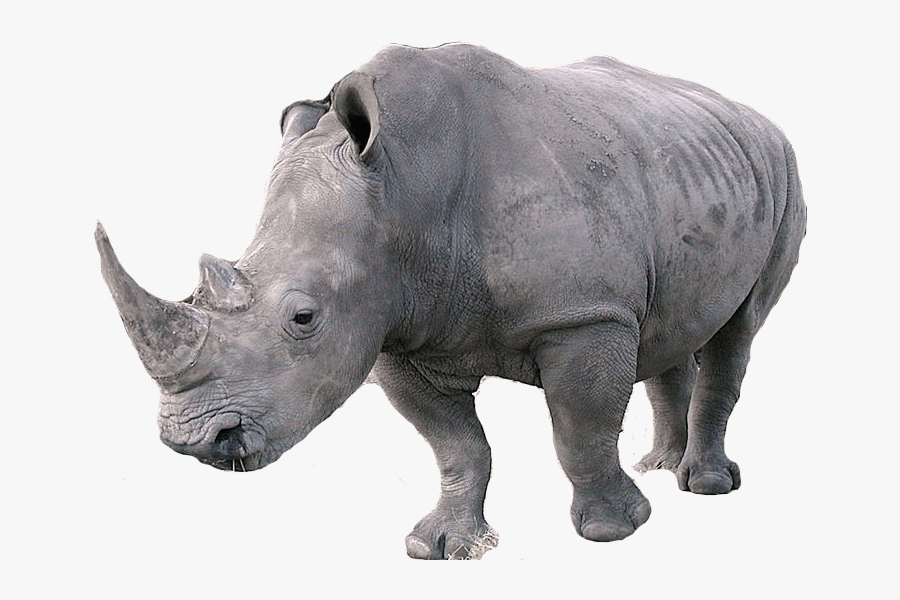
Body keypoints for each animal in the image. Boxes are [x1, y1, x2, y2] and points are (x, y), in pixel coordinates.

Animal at [97, 43, 806, 559]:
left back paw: (704, 484)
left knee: (738, 330)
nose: (194, 441)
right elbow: (456, 445)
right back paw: (659, 463)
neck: (403, 190)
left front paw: (613, 531)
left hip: (783, 171)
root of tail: (753, 115)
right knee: (671, 324)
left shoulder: (583, 315)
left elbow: (579, 428)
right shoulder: (394, 328)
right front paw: (441, 545)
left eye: (303, 318)